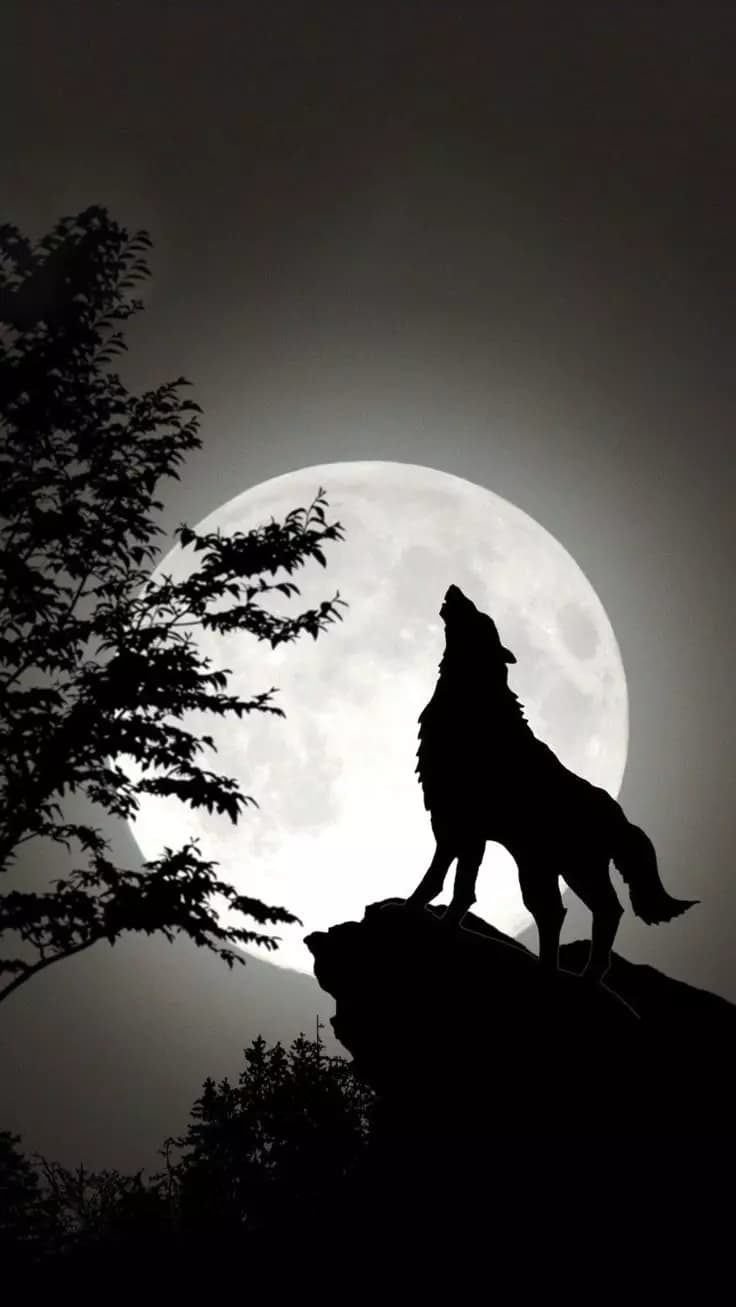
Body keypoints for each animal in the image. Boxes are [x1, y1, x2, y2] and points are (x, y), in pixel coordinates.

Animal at [405, 584, 697, 982]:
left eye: (481, 618)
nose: (454, 589)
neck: (473, 703)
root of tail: (620, 816)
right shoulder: (469, 831)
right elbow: (463, 887)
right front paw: (445, 925)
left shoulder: (455, 821)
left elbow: (441, 878)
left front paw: (412, 909)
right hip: (560, 869)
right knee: (589, 911)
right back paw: (575, 975)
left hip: (554, 867)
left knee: (568, 911)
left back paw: (560, 974)